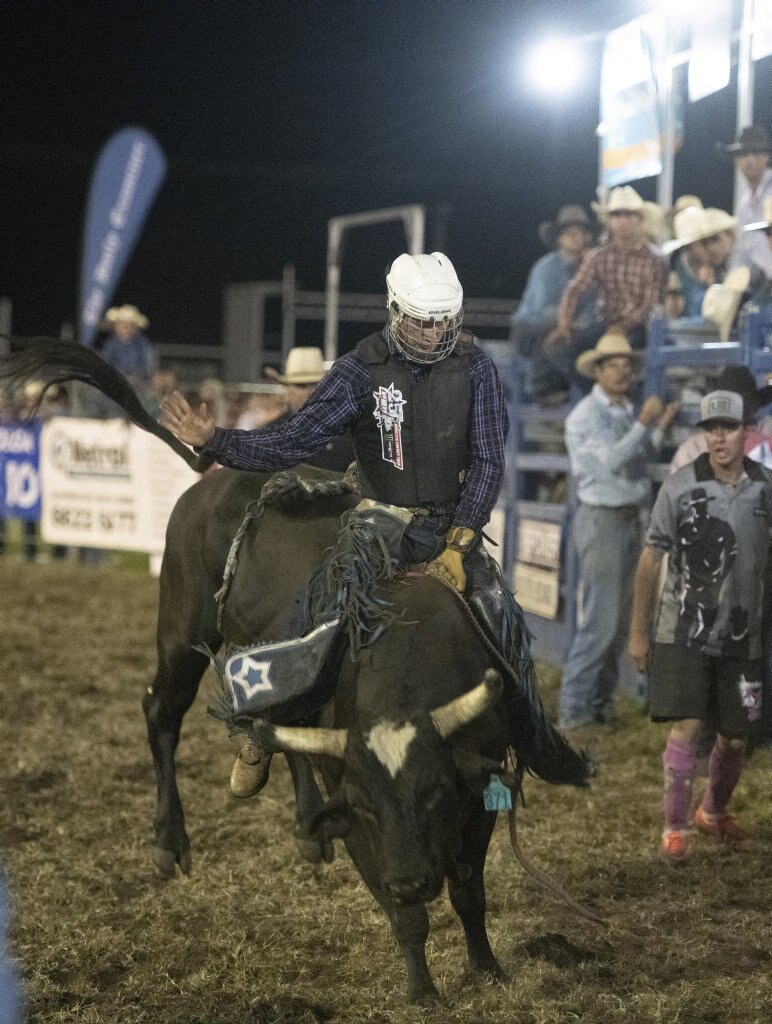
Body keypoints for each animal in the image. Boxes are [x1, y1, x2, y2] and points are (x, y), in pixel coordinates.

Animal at [1, 342, 589, 999]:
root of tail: (210, 483)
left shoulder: (476, 787)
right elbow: (402, 911)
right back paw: (170, 842)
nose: (412, 878)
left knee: (284, 732)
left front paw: (486, 967)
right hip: (181, 632)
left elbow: (468, 889)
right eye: (366, 805)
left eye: (433, 792)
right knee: (161, 711)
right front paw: (422, 988)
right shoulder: (357, 808)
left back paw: (304, 824)